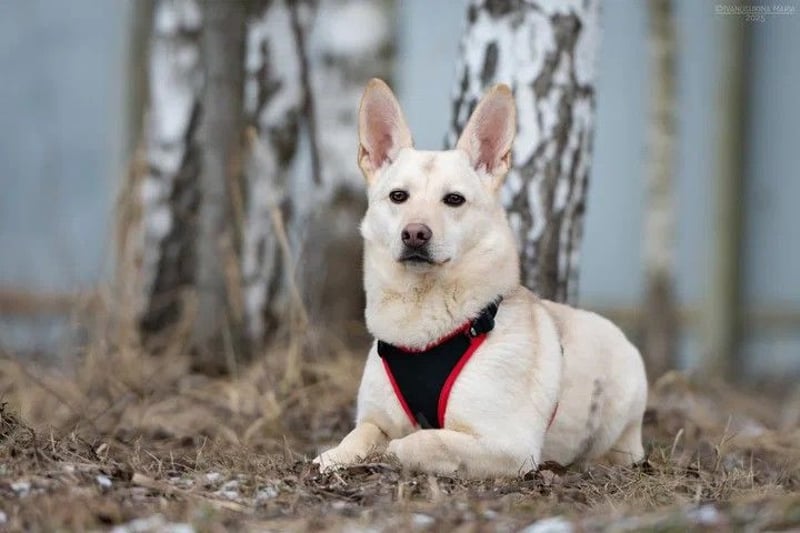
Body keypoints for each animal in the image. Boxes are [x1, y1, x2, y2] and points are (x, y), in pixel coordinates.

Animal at [313, 79, 648, 478]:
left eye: (454, 200)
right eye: (398, 196)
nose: (414, 234)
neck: (422, 325)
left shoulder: (510, 446)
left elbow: (421, 441)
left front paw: (390, 452)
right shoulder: (375, 418)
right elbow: (360, 433)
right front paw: (333, 455)